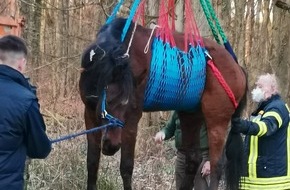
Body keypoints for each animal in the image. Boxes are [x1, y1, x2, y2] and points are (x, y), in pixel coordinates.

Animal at [79, 17, 247, 190]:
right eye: (107, 101)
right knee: (193, 159)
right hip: (190, 116)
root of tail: (237, 67)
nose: (111, 145)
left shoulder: (132, 119)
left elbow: (126, 166)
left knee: (216, 165)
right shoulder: (89, 114)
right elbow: (92, 163)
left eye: (127, 105)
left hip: (216, 121)